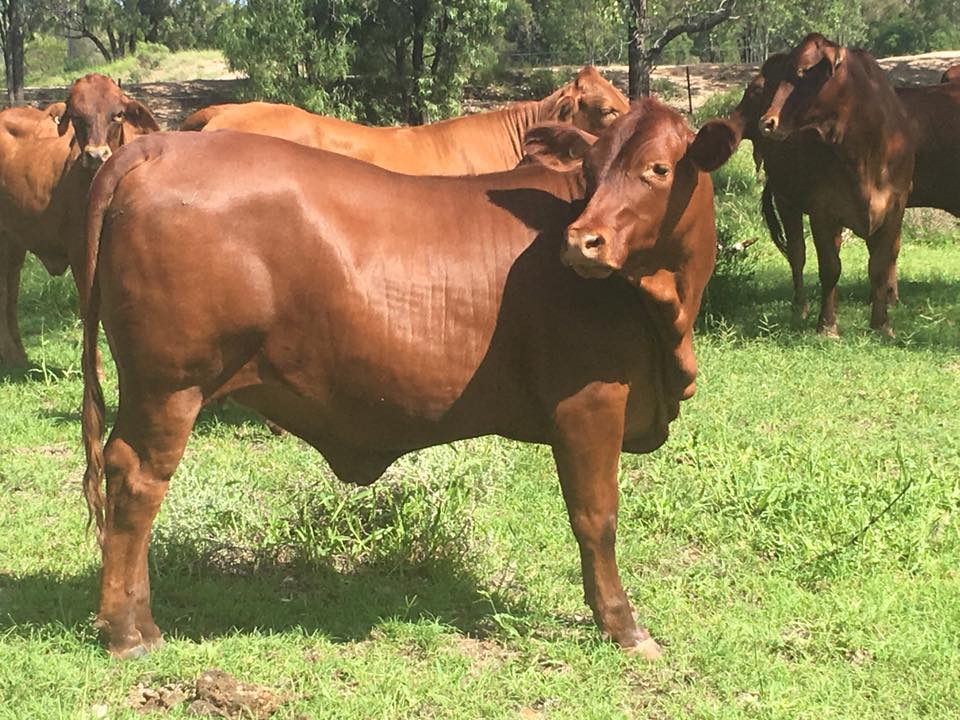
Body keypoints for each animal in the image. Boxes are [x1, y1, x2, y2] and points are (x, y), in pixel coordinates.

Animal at [0, 74, 159, 366]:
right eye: (76, 115)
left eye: (118, 114)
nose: (96, 155)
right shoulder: (80, 253)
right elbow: (90, 310)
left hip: (13, 241)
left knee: (10, 288)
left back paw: (17, 356)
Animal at [79, 100, 740, 660]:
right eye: (593, 168)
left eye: (657, 168)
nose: (583, 242)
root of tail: (158, 147)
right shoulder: (589, 402)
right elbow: (595, 517)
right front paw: (623, 626)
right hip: (170, 387)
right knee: (136, 482)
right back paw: (128, 632)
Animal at [752, 35, 916, 334]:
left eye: (803, 72)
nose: (767, 122)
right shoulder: (822, 210)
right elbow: (829, 267)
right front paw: (827, 326)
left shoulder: (895, 206)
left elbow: (879, 266)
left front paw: (882, 324)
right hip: (785, 200)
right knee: (797, 254)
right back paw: (801, 307)